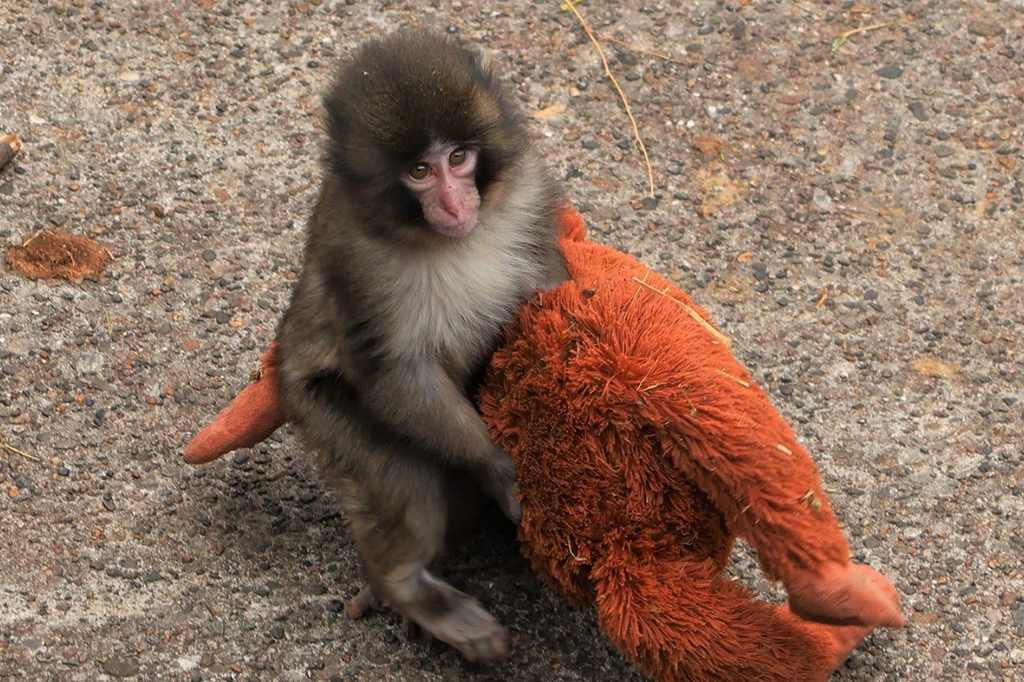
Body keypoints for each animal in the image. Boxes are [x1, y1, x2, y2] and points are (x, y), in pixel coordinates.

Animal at [275, 30, 568, 663]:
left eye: (458, 158)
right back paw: (406, 588)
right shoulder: (357, 259)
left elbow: (551, 287)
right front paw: (496, 466)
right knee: (407, 482)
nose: (456, 205)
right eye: (418, 171)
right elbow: (394, 373)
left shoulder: (528, 195)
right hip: (315, 407)